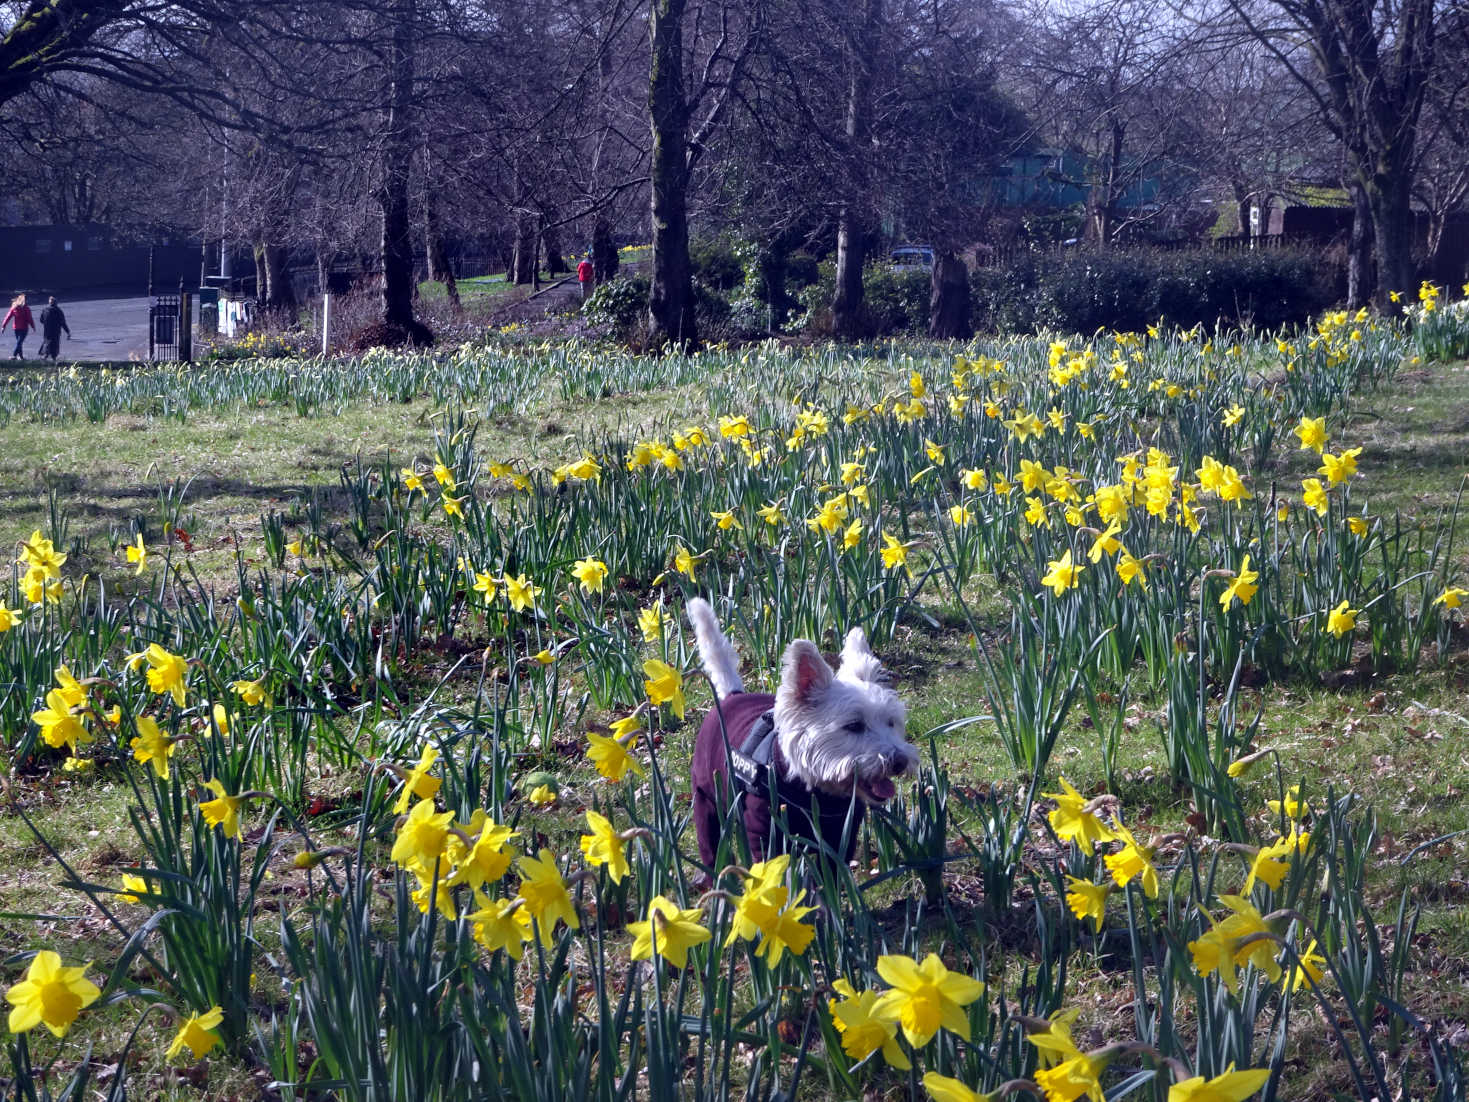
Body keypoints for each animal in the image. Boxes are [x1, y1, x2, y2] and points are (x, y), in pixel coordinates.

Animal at [681, 599, 910, 875]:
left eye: (891, 722)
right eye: (854, 726)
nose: (899, 761)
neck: (816, 792)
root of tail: (733, 695)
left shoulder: (840, 838)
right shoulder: (764, 834)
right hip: (706, 798)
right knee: (711, 844)